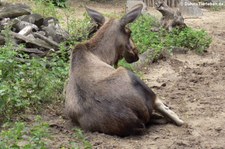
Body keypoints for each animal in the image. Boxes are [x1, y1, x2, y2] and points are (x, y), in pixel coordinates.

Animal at [64, 4, 184, 137]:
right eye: (129, 32)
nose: (136, 53)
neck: (103, 55)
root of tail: (132, 119)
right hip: (132, 76)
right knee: (173, 116)